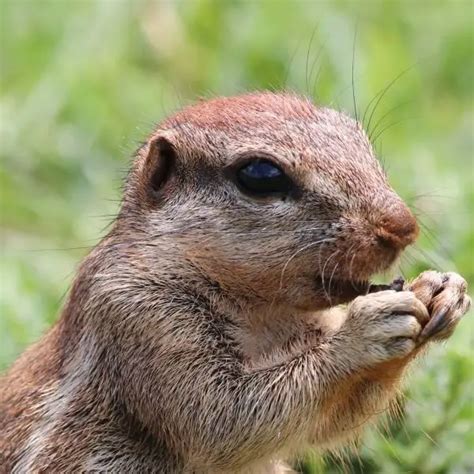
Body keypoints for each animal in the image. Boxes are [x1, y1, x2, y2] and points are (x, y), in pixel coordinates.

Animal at [0, 90, 470, 472]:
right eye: (260, 175)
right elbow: (221, 417)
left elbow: (331, 421)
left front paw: (442, 289)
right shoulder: (137, 315)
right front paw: (365, 331)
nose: (403, 227)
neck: (262, 313)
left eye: (359, 138)